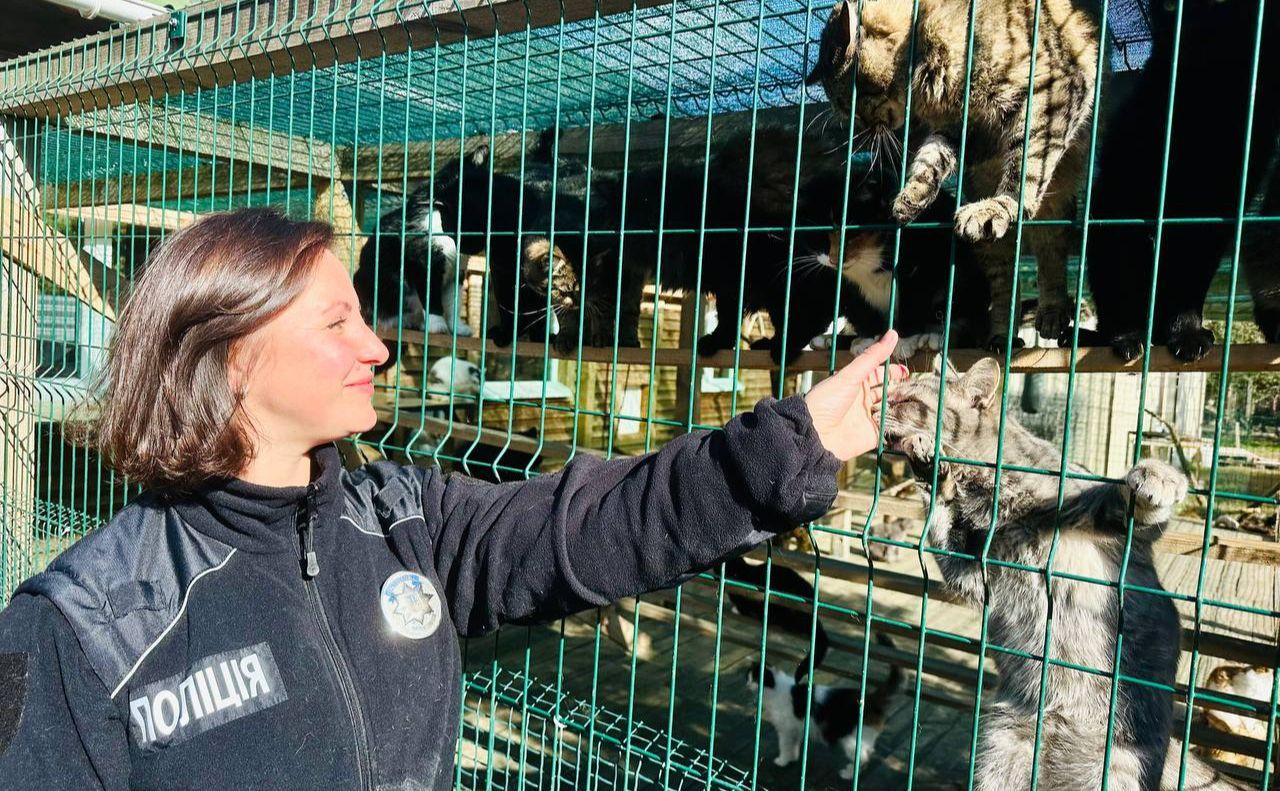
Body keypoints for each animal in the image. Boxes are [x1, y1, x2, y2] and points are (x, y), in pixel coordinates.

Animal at [747, 627, 906, 778]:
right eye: (748, 677)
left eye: (754, 679)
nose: (747, 684)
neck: (775, 688)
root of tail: (871, 698)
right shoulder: (794, 729)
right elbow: (793, 746)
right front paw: (793, 758)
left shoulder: (785, 729)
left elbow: (784, 746)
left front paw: (782, 761)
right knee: (867, 754)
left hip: (852, 740)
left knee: (862, 758)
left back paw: (848, 774)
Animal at [808, 0, 1100, 348]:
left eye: (846, 104)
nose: (862, 130)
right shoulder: (958, 129)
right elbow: (931, 158)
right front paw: (911, 196)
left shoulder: (1052, 93)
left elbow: (1027, 164)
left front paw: (1005, 204)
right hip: (991, 246)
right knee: (1005, 283)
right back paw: (1002, 336)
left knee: (1050, 250)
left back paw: (1051, 311)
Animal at [880, 358, 1249, 788]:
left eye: (906, 400)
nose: (875, 402)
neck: (992, 500)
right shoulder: (972, 573)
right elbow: (941, 525)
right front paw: (931, 474)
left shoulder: (1123, 538)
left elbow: (1138, 509)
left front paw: (1156, 477)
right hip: (1000, 752)